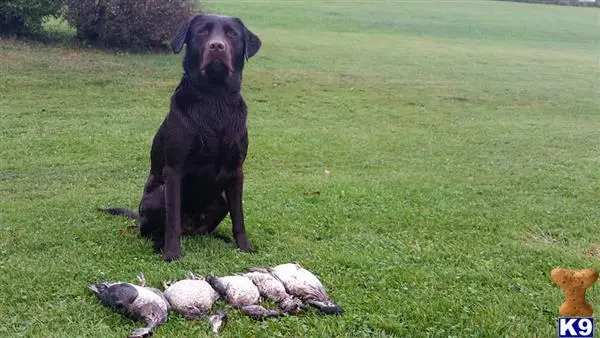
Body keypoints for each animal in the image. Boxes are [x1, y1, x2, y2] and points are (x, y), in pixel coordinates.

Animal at [97, 13, 262, 262]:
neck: (214, 99)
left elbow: (239, 217)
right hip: (158, 194)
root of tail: (191, 229)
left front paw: (244, 246)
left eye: (232, 34)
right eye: (203, 31)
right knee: (151, 230)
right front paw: (172, 253)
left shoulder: (236, 171)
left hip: (222, 197)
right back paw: (159, 244)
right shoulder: (174, 171)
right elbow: (172, 222)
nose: (217, 46)